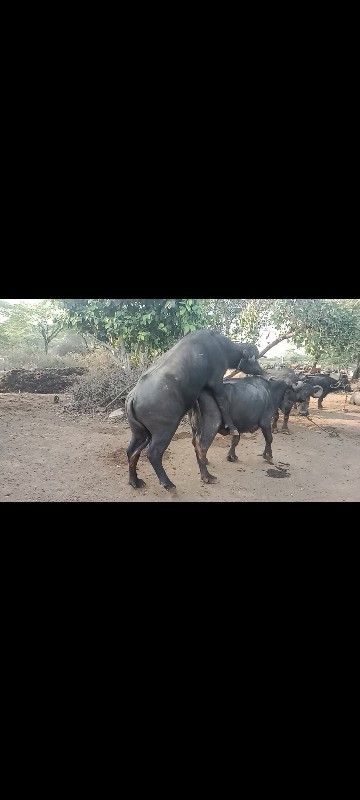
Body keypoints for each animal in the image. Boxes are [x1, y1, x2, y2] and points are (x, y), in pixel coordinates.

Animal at [125, 330, 260, 488]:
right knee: (153, 453)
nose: (259, 369)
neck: (220, 346)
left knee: (131, 452)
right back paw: (168, 483)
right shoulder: (216, 381)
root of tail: (133, 396)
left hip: (139, 432)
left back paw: (135, 480)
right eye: (254, 359)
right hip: (164, 431)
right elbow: (223, 403)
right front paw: (232, 428)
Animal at [188, 376, 324, 482]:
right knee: (201, 447)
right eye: (301, 389)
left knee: (195, 443)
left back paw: (205, 462)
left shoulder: (238, 425)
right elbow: (269, 438)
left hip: (195, 428)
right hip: (211, 426)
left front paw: (232, 456)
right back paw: (207, 476)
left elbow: (235, 440)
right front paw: (268, 455)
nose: (304, 400)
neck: (270, 392)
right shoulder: (265, 422)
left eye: (309, 391)